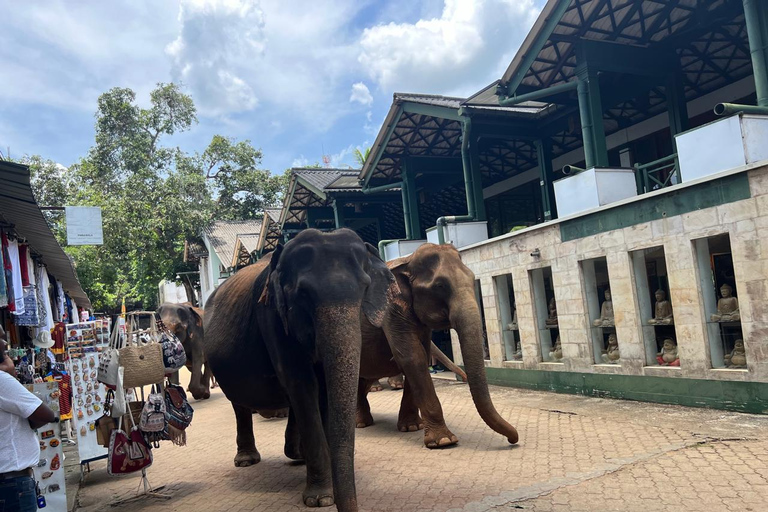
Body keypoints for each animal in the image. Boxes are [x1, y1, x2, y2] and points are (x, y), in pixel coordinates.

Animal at [202, 229, 392, 512]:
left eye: (364, 288)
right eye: (303, 295)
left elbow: (321, 389)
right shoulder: (271, 317)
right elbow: (302, 384)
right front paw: (321, 499)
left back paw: (296, 455)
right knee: (241, 405)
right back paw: (247, 460)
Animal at [356, 243, 520, 448]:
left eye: (472, 279)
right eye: (440, 286)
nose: (513, 440)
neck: (407, 260)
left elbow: (421, 356)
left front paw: (412, 428)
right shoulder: (391, 310)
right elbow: (412, 357)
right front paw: (444, 441)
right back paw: (361, 424)